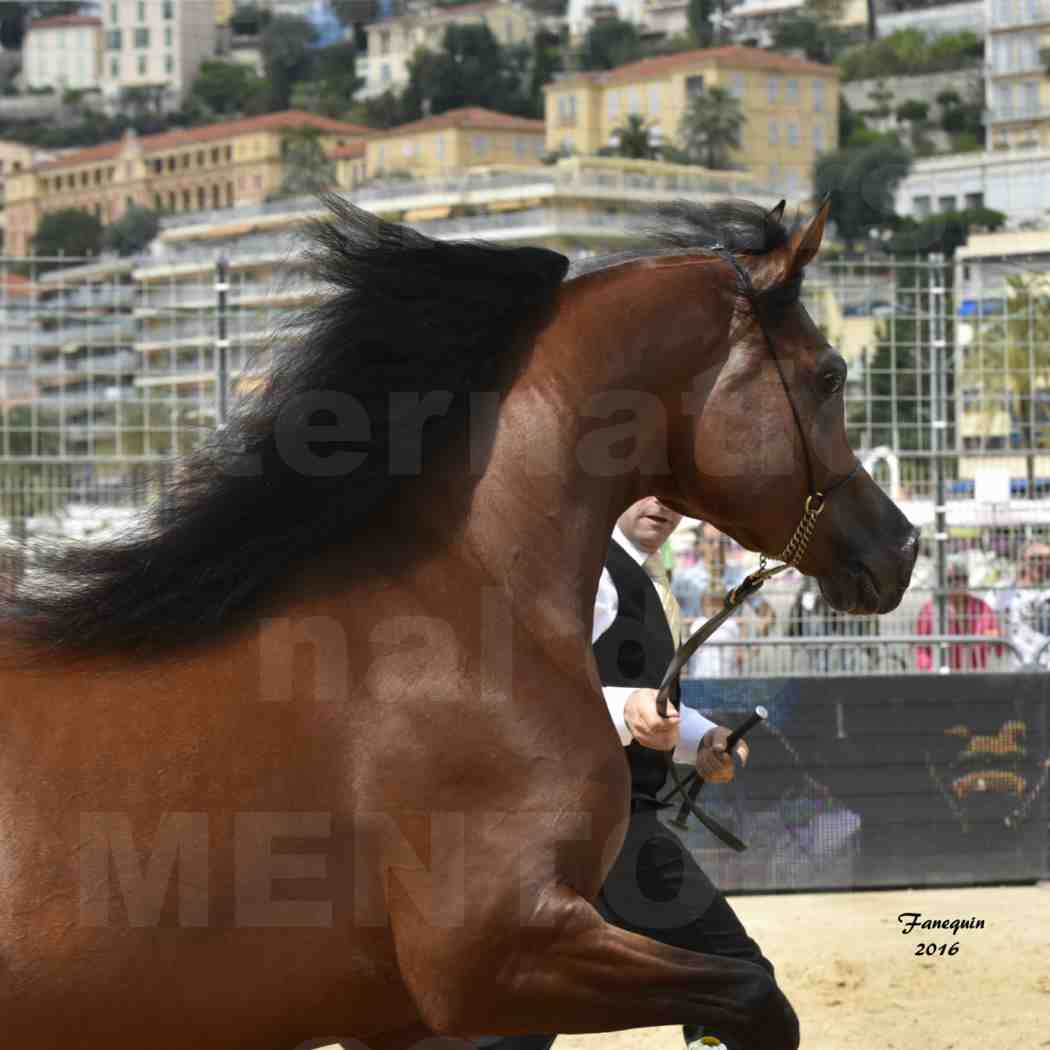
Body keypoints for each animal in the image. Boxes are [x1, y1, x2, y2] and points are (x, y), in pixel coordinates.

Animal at [0, 195, 915, 1050]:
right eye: (830, 374)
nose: (901, 548)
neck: (469, 605)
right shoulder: (496, 957)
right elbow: (757, 999)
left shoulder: (407, 1016)